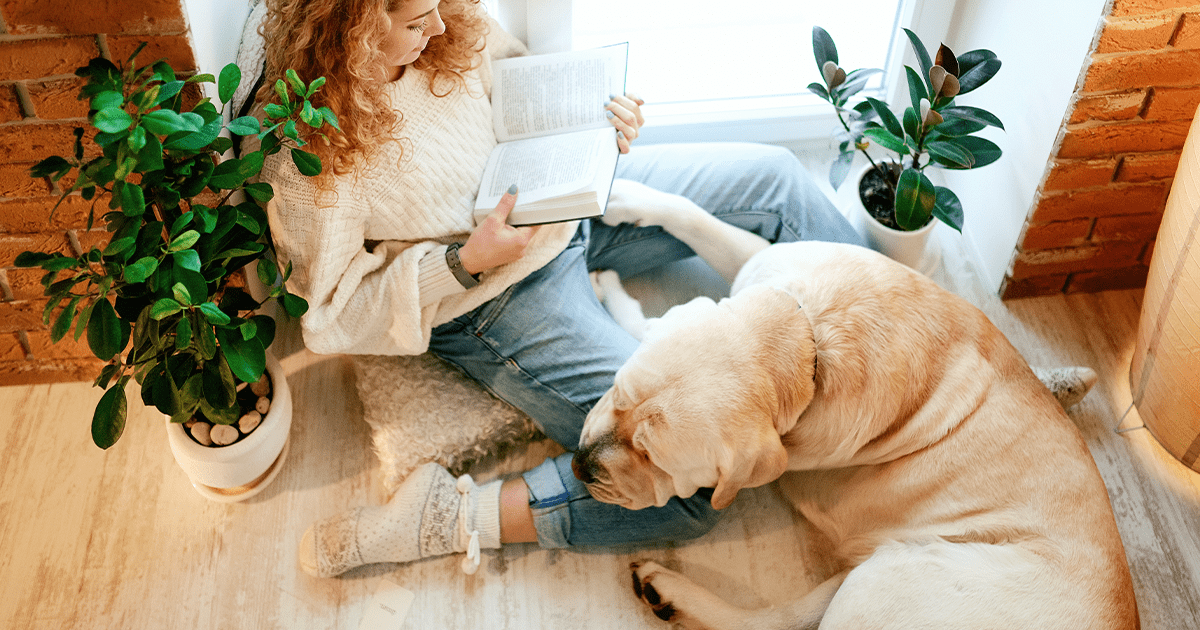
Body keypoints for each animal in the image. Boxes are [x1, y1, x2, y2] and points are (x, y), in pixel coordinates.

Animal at [576, 241, 1137, 628]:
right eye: (615, 393)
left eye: (654, 461)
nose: (581, 465)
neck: (807, 336)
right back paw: (667, 593)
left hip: (894, 576)